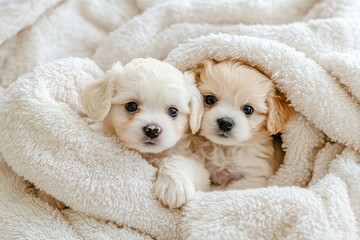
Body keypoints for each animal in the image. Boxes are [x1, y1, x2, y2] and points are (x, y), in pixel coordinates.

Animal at [79, 58, 208, 208]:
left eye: (173, 111)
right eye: (131, 106)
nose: (152, 130)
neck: (148, 154)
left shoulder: (201, 171)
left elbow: (176, 159)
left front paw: (175, 186)